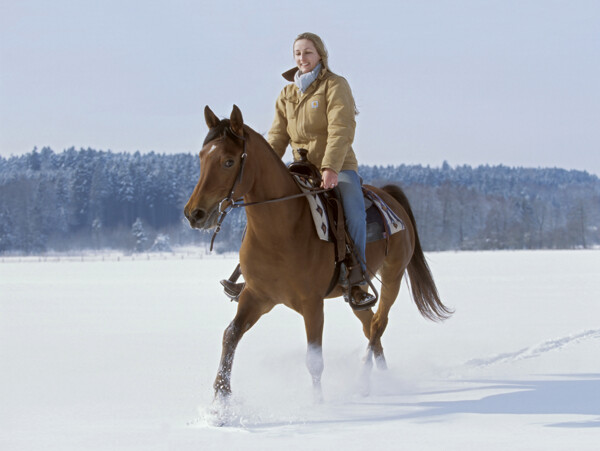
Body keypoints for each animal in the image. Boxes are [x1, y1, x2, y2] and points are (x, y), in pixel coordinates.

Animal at [185, 105, 452, 402]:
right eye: (201, 158)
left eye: (229, 162)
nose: (194, 214)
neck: (279, 231)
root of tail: (391, 199)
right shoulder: (257, 296)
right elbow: (230, 335)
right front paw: (221, 399)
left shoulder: (312, 303)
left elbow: (314, 359)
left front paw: (317, 404)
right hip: (356, 294)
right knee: (369, 324)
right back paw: (381, 381)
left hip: (393, 276)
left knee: (378, 324)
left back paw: (364, 378)